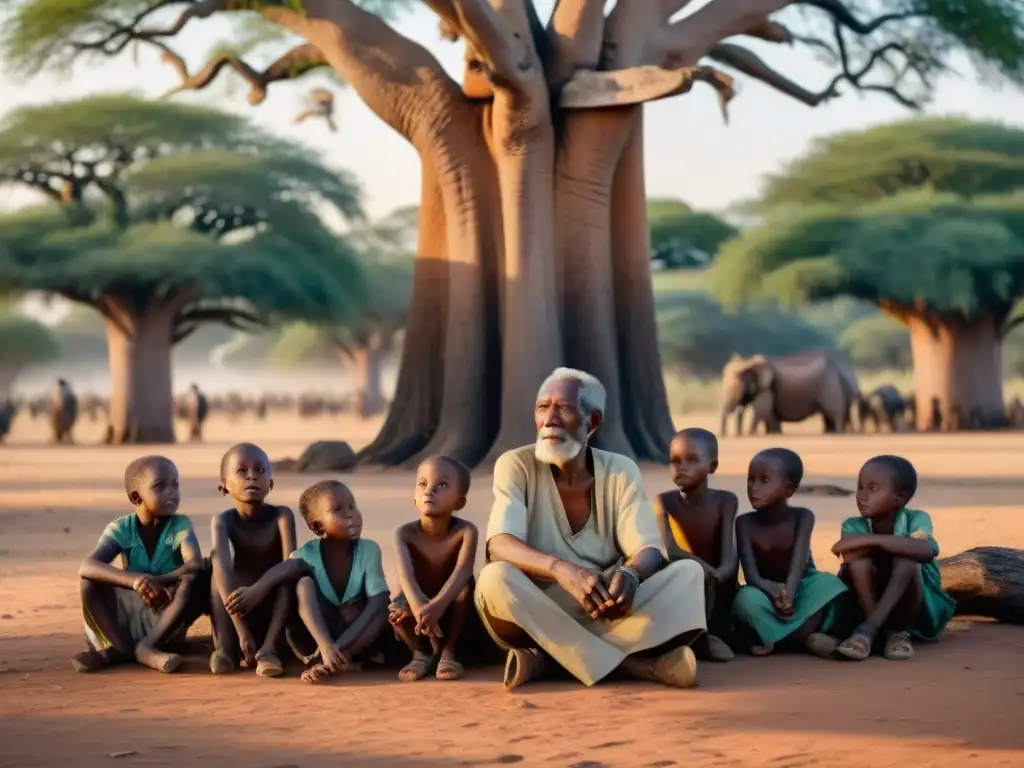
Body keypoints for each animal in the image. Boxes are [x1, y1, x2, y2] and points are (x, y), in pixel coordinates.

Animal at [724, 352, 860, 436]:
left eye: (737, 387)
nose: (737, 435)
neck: (749, 361)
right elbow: (767, 413)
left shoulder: (767, 387)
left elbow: (763, 410)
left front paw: (755, 434)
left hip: (830, 386)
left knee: (835, 413)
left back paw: (838, 433)